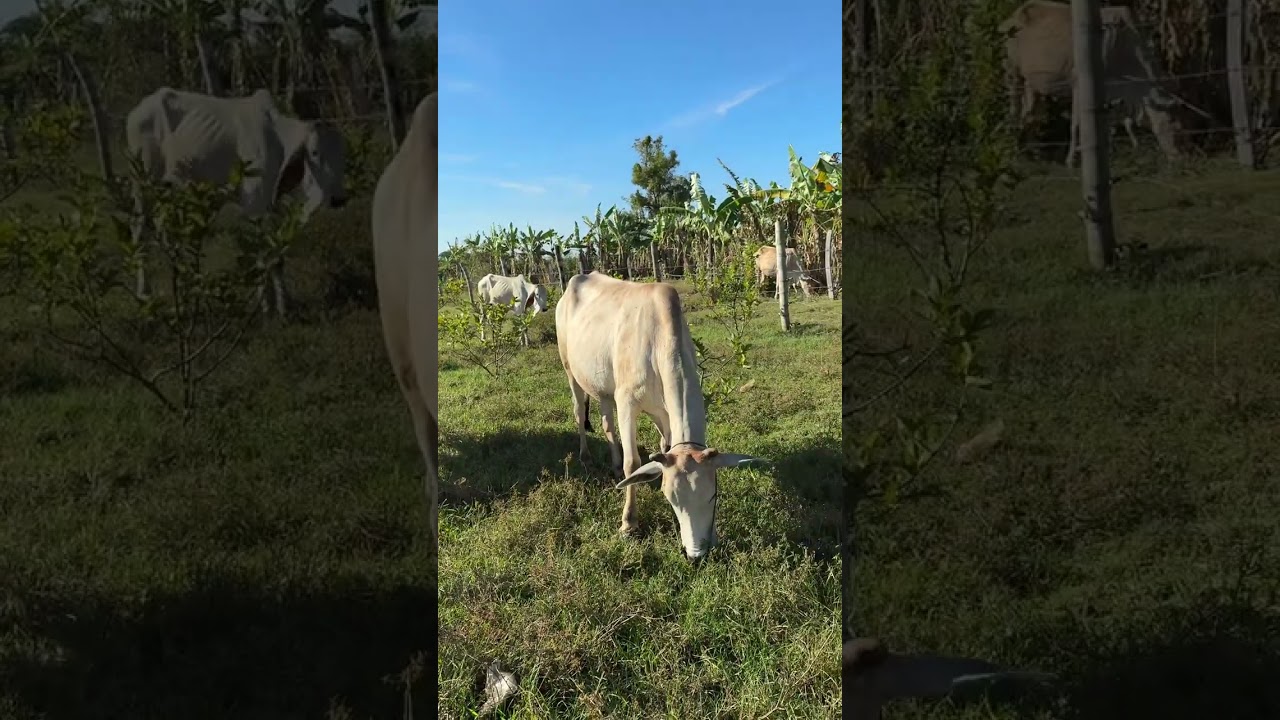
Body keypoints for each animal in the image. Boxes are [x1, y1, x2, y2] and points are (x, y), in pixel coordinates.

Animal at [124, 87, 348, 315]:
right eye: (314, 152)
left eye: (342, 156)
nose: (338, 198)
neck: (278, 143)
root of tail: (136, 112)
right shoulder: (255, 206)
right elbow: (261, 254)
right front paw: (265, 308)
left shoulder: (273, 206)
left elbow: (278, 257)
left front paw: (285, 306)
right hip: (142, 183)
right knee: (139, 229)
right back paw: (145, 293)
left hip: (168, 191)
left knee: (164, 230)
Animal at [555, 272, 767, 562]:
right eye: (671, 500)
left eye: (713, 495)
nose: (696, 554)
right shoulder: (627, 403)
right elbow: (633, 463)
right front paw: (628, 523)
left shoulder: (664, 414)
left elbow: (664, 448)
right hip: (571, 371)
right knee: (579, 413)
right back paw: (586, 457)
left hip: (605, 389)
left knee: (607, 423)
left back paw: (613, 463)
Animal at [1000, 0, 1192, 168]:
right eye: (1177, 128)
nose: (1182, 159)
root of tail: (1015, 13)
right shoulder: (1079, 84)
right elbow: (1076, 124)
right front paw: (1072, 161)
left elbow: (1112, 125)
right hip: (1012, 71)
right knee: (1014, 107)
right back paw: (1013, 145)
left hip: (1032, 83)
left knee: (1030, 112)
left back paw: (1032, 152)